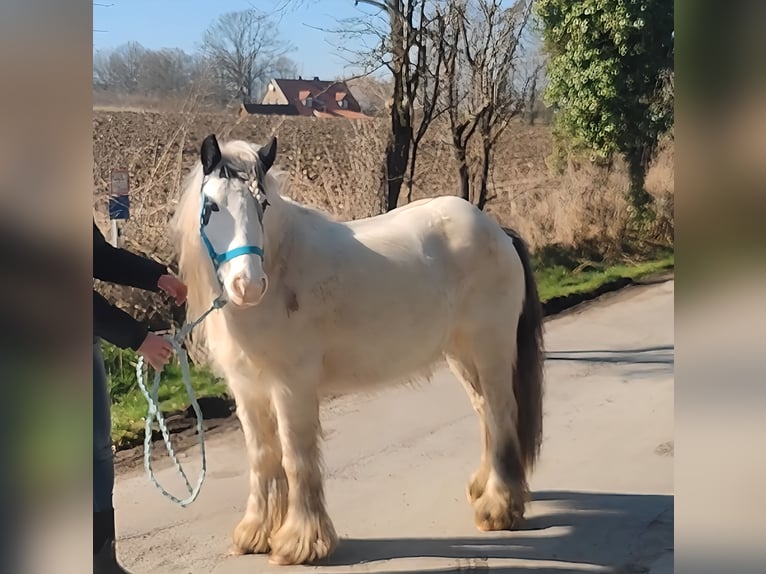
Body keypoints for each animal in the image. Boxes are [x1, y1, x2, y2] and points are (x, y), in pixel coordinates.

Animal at [172, 134, 548, 568]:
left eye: (262, 205)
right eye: (212, 206)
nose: (247, 285)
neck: (283, 267)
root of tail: (497, 231)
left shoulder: (292, 385)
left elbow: (296, 457)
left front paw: (300, 542)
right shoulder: (247, 388)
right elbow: (263, 457)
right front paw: (256, 533)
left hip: (491, 347)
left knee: (502, 415)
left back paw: (499, 508)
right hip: (461, 354)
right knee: (484, 410)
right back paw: (483, 488)